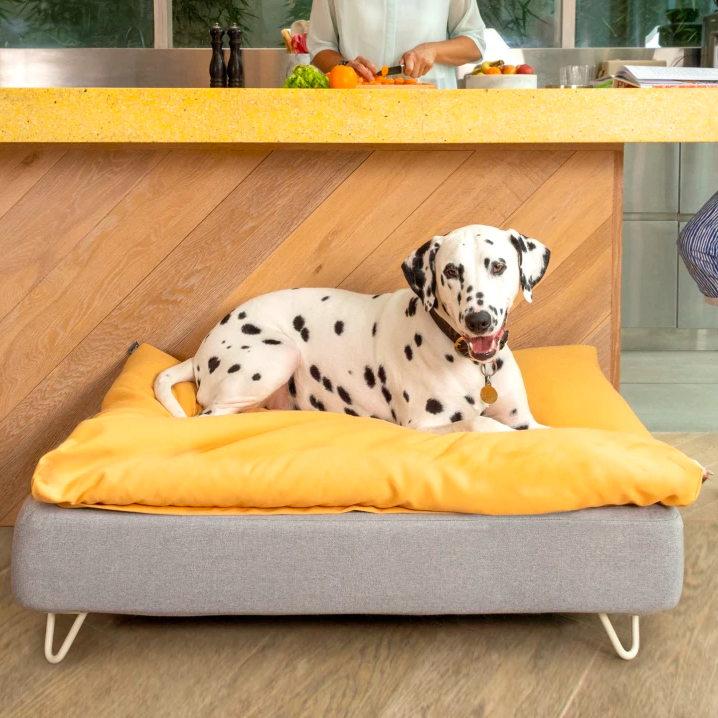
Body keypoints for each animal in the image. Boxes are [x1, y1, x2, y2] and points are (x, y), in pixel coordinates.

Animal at [154, 224, 551, 434]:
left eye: (498, 265)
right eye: (451, 271)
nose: (478, 320)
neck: (474, 365)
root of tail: (199, 355)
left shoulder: (524, 420)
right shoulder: (424, 427)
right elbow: (480, 425)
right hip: (277, 355)